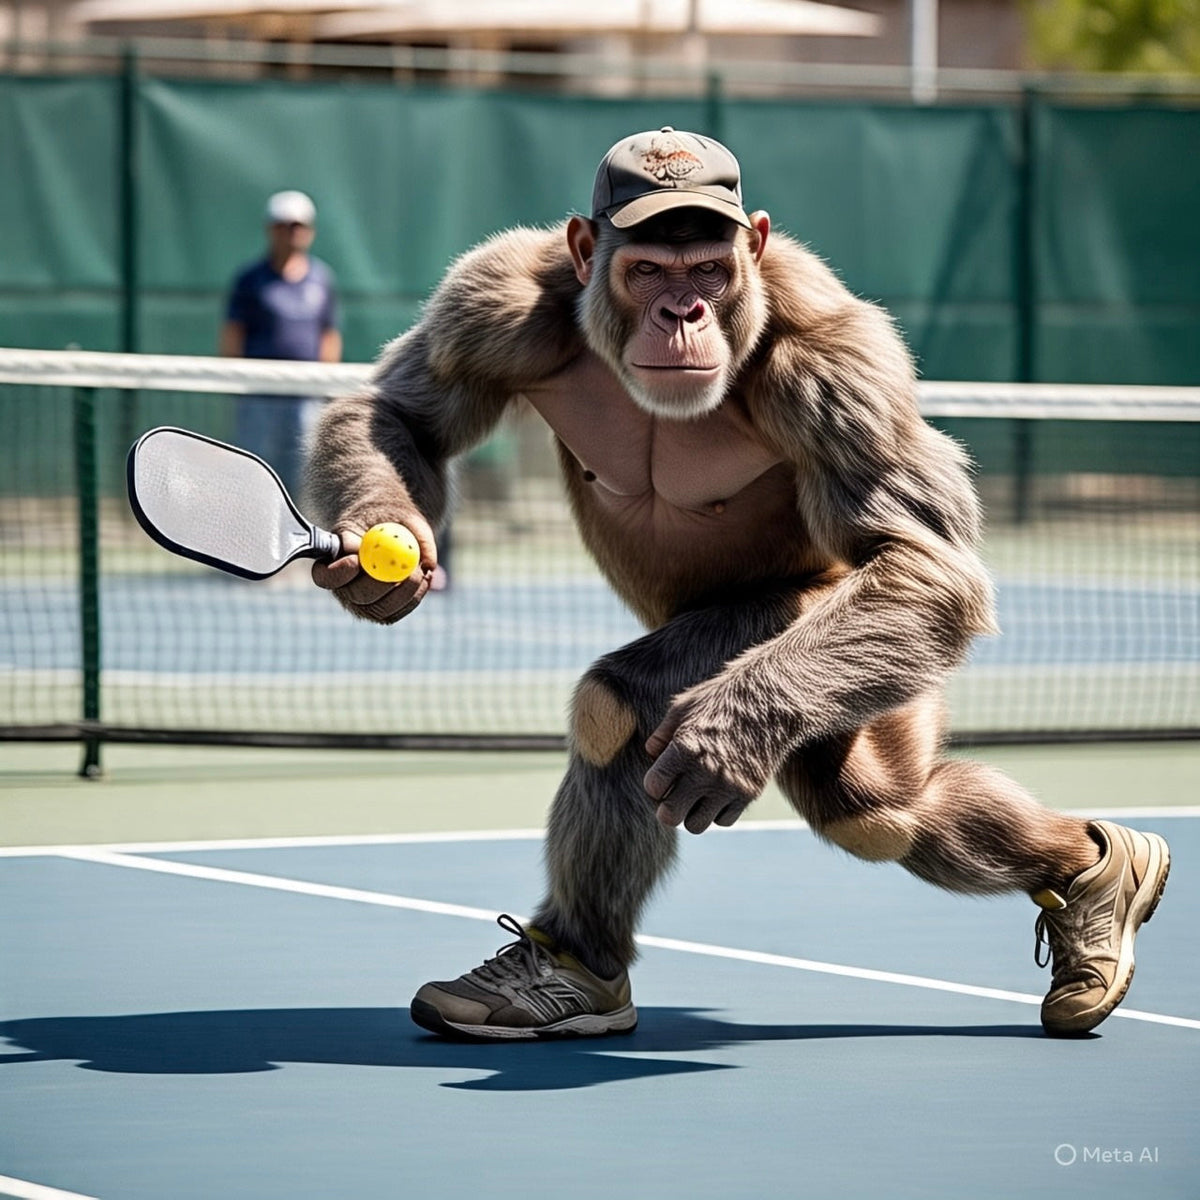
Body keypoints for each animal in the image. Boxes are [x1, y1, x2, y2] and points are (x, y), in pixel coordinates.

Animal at [306, 128, 1169, 1041]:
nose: (682, 314)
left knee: (874, 808)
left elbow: (918, 557)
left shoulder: (841, 369)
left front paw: (726, 735)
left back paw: (1102, 883)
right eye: (649, 268)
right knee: (643, 725)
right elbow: (399, 412)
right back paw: (575, 964)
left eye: (709, 271)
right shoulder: (491, 305)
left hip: (822, 633)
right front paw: (375, 563)